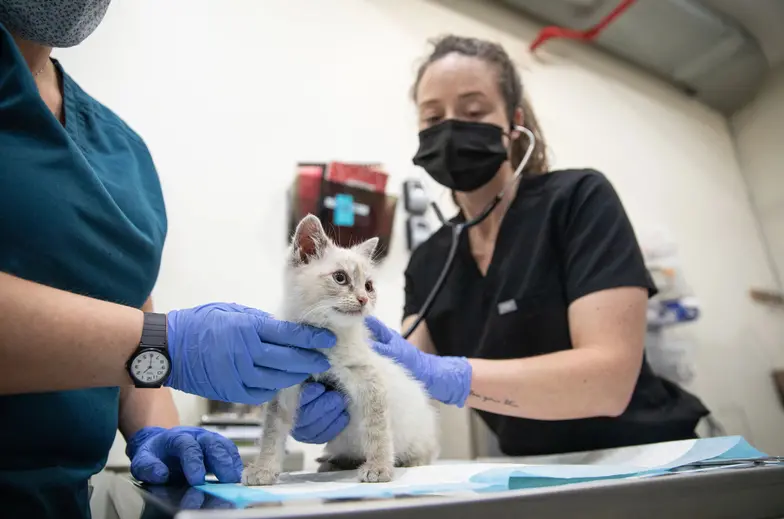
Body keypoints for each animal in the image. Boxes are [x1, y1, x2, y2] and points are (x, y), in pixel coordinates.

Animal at [243, 213, 440, 486]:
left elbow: (377, 430)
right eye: (340, 278)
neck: (326, 340)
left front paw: (379, 467)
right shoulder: (285, 385)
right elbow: (272, 431)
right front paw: (263, 468)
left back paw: (409, 461)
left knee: (423, 452)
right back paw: (332, 463)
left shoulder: (370, 381)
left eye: (369, 286)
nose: (364, 299)